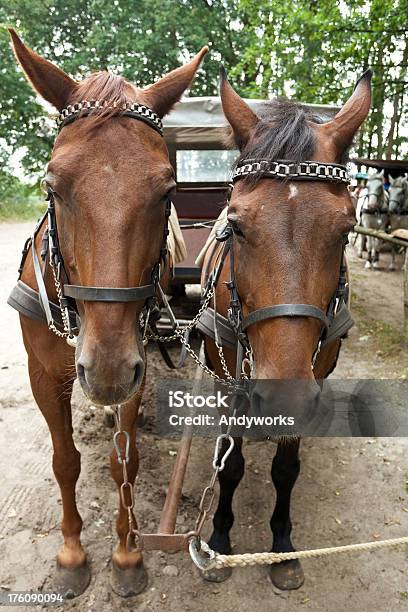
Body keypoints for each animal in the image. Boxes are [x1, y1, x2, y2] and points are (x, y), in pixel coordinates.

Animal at [7, 28, 207, 596]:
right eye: (51, 185)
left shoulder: (132, 365)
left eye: (167, 190)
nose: (108, 370)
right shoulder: (43, 373)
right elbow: (64, 461)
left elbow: (126, 463)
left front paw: (126, 554)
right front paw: (72, 554)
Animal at [199, 68, 372, 588]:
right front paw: (219, 539)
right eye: (235, 226)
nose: (282, 399)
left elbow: (286, 467)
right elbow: (231, 464)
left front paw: (281, 546)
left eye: (347, 230)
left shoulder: (314, 377)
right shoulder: (228, 381)